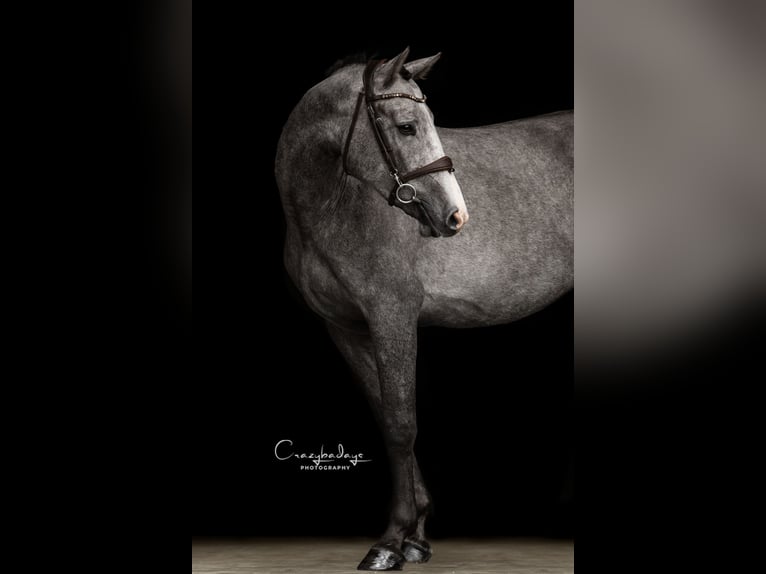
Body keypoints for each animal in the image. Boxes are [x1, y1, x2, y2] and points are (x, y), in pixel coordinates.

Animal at [275, 48, 573, 571]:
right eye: (407, 126)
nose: (456, 216)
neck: (333, 206)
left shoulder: (392, 316)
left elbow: (401, 425)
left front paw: (390, 541)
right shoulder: (346, 328)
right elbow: (386, 414)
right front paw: (415, 537)